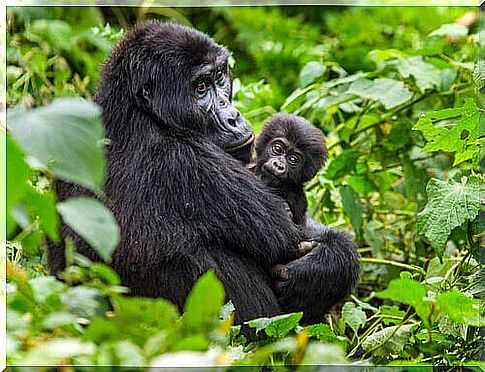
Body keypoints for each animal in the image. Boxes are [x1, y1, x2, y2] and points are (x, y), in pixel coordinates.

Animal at [49, 21, 358, 322]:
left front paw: (323, 267)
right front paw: (321, 267)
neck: (138, 112)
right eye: (200, 87)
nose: (233, 117)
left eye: (220, 77)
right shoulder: (189, 162)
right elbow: (290, 237)